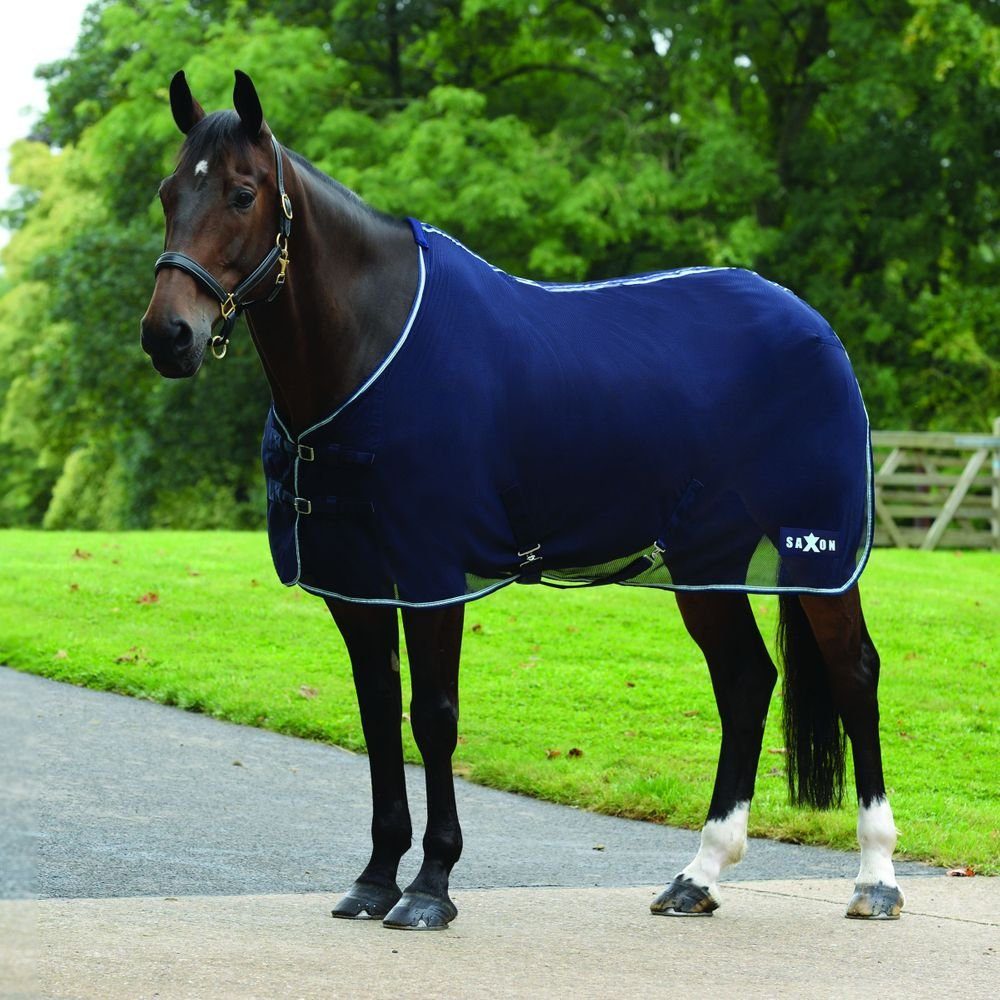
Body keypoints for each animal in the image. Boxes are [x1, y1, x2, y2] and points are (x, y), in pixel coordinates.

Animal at [140, 70, 904, 929]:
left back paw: (876, 878)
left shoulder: (434, 573)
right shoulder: (357, 582)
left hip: (818, 555)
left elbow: (433, 716)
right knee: (744, 681)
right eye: (169, 192)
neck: (374, 345)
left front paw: (430, 887)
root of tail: (814, 327)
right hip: (704, 562)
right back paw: (698, 875)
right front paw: (374, 880)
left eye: (242, 194)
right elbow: (377, 714)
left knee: (853, 674)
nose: (169, 335)